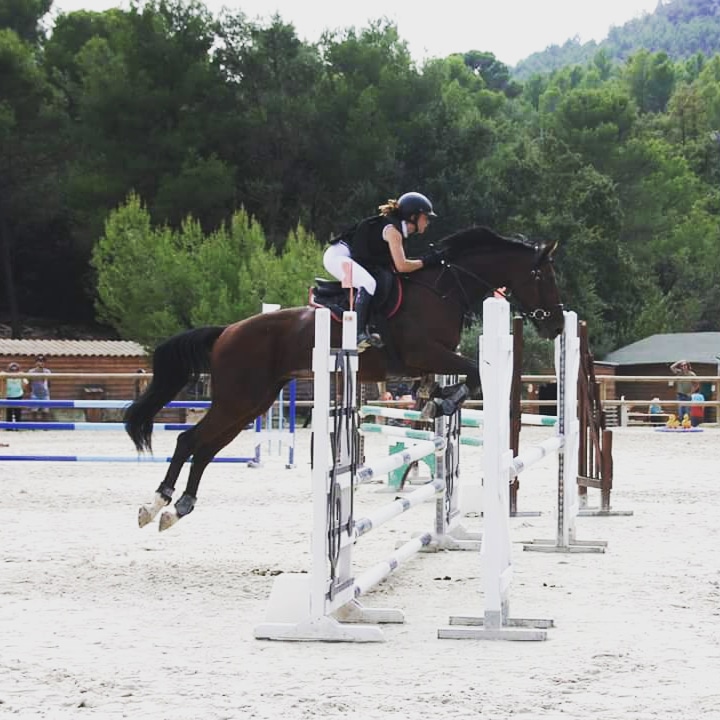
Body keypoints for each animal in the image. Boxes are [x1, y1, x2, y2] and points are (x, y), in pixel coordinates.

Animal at [126, 225, 565, 531]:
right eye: (545, 278)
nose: (558, 324)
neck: (444, 290)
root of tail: (227, 332)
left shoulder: (424, 361)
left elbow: (443, 382)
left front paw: (434, 398)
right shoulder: (423, 352)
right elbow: (472, 374)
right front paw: (444, 401)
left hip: (252, 402)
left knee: (205, 448)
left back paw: (178, 507)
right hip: (239, 398)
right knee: (189, 441)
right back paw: (157, 504)